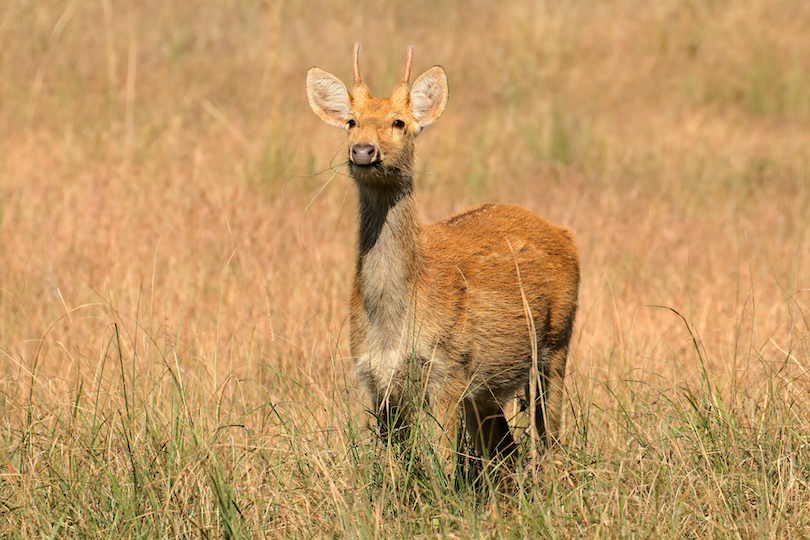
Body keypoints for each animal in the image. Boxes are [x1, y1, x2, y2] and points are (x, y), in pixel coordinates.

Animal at [306, 43, 576, 464]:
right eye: (351, 121)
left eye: (399, 123)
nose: (363, 151)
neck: (394, 320)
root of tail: (565, 234)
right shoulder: (376, 379)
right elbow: (395, 464)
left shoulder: (448, 368)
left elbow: (442, 463)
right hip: (488, 388)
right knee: (505, 450)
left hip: (558, 343)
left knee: (549, 439)